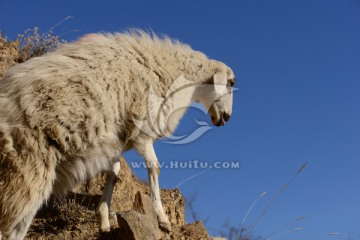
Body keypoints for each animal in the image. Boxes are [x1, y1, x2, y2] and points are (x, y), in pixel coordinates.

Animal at [0, 29, 235, 238]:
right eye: (231, 83)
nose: (227, 117)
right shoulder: (142, 129)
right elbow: (154, 168)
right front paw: (162, 219)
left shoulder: (117, 140)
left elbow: (114, 172)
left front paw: (104, 219)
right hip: (27, 172)